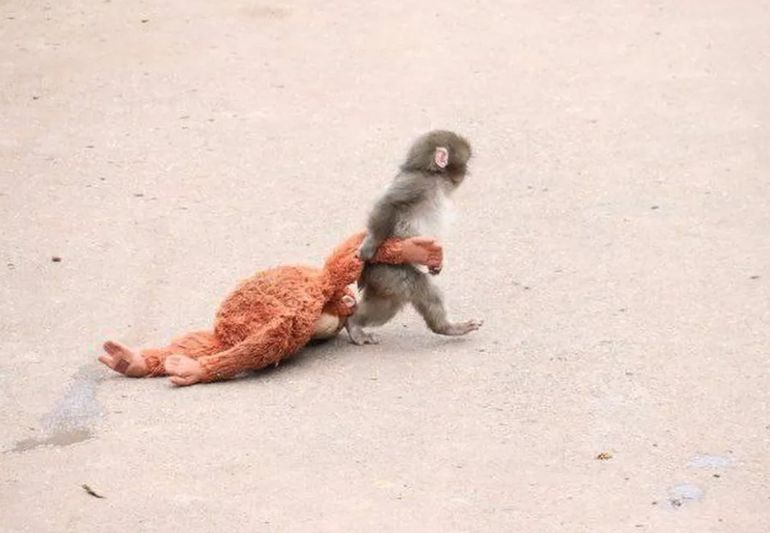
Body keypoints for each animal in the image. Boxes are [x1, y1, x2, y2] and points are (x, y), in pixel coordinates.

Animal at [346, 130, 483, 345]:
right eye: (466, 161)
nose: (467, 171)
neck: (432, 175)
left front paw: (436, 265)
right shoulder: (417, 184)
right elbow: (389, 203)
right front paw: (370, 245)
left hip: (383, 281)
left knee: (386, 305)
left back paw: (354, 322)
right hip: (387, 270)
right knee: (421, 288)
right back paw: (447, 327)